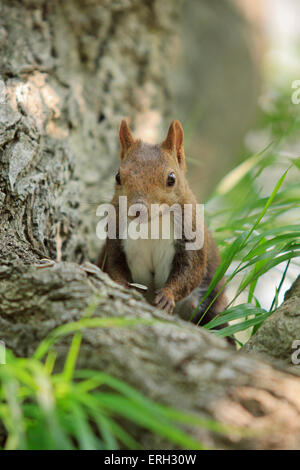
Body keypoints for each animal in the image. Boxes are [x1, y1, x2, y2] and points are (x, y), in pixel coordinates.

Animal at [98, 117, 232, 338]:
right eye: (118, 176)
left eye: (171, 178)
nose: (137, 210)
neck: (151, 225)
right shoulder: (116, 234)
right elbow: (114, 264)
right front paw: (120, 285)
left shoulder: (191, 237)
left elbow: (191, 272)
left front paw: (167, 296)